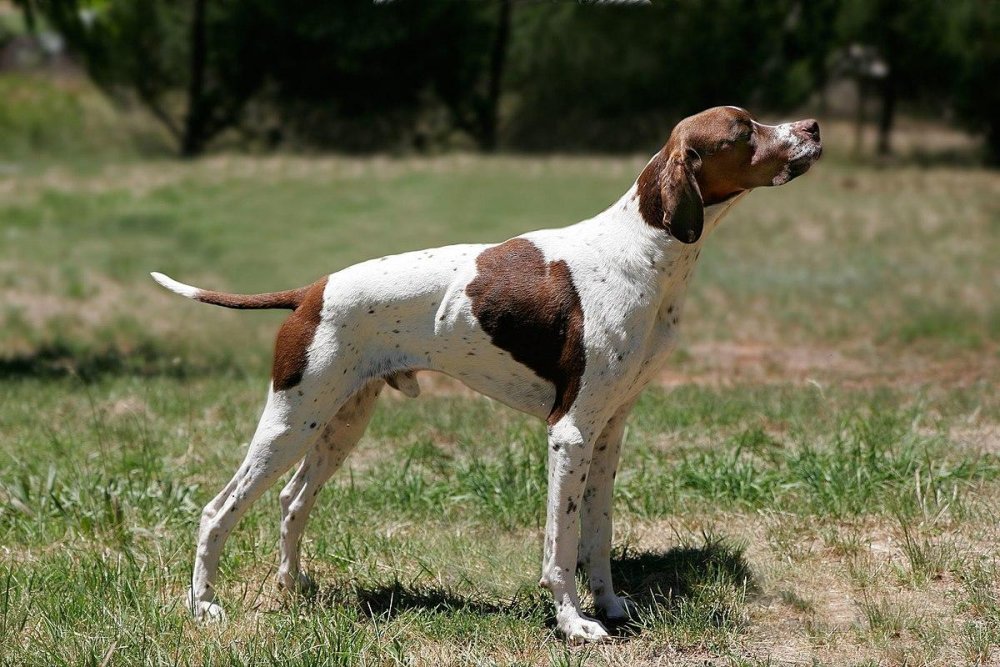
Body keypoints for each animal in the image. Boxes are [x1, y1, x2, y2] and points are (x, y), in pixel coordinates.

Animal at [150, 107, 820, 644]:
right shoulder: (570, 432)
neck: (642, 252)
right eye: (744, 129)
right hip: (291, 421)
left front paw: (608, 606)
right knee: (217, 511)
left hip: (339, 422)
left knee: (292, 502)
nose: (813, 127)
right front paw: (573, 623)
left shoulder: (608, 434)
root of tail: (310, 291)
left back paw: (294, 587)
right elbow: (561, 545)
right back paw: (204, 605)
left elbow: (597, 539)